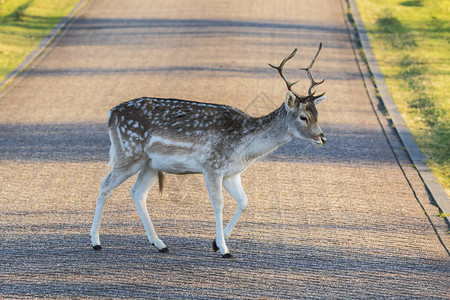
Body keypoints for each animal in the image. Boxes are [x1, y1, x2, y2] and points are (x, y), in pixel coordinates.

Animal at [89, 42, 326, 258]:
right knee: (105, 184)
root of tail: (111, 114)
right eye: (303, 117)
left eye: (317, 114)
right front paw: (224, 249)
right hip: (129, 152)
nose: (322, 137)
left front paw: (215, 242)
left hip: (150, 164)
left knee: (137, 192)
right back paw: (96, 241)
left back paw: (160, 244)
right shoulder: (212, 166)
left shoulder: (232, 173)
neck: (244, 147)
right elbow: (218, 204)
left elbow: (244, 202)